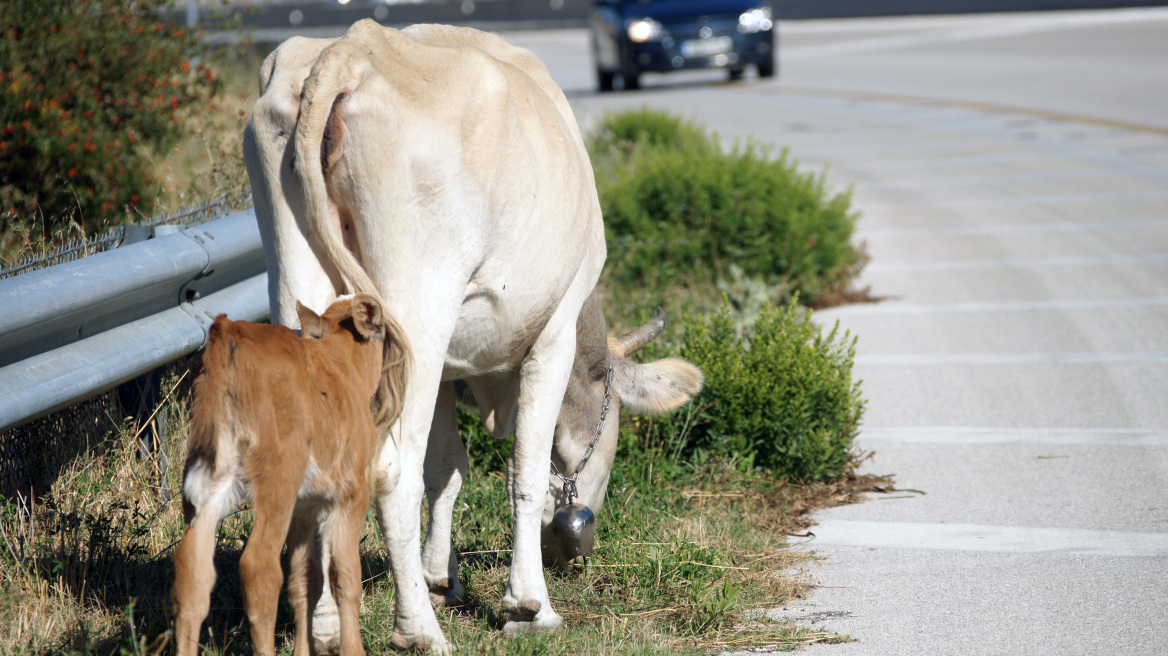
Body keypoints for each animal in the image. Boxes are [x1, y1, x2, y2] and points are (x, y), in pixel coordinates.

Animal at [170, 295, 408, 653]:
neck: (343, 365)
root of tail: (229, 330)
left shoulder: (304, 507)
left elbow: (305, 580)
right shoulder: (352, 493)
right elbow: (345, 576)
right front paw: (353, 649)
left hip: (208, 482)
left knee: (192, 571)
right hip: (277, 480)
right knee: (259, 566)